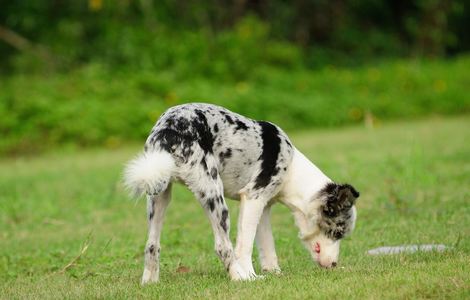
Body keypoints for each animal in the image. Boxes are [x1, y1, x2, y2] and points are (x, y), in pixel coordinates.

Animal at [125, 103, 360, 284]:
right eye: (338, 233)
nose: (334, 265)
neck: (292, 169)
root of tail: (168, 130)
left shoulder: (263, 207)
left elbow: (267, 247)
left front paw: (274, 273)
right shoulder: (253, 198)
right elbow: (245, 246)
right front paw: (251, 276)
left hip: (159, 194)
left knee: (151, 245)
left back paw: (150, 282)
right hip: (214, 196)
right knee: (222, 247)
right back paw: (239, 277)